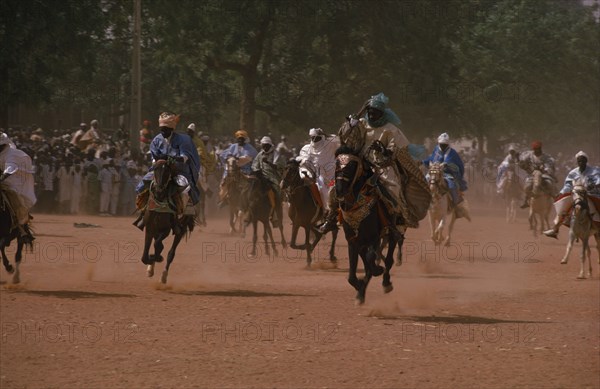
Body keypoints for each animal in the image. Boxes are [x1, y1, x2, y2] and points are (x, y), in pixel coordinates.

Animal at [140, 156, 195, 284]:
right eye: (155, 169)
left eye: (167, 171)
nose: (159, 190)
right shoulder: (149, 228)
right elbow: (145, 255)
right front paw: (151, 262)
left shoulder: (166, 229)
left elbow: (158, 245)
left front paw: (157, 258)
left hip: (181, 229)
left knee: (171, 252)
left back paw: (164, 276)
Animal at [332, 147, 398, 304]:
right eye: (336, 164)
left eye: (351, 166)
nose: (339, 190)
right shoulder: (353, 241)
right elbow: (352, 276)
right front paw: (359, 287)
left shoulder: (374, 238)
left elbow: (371, 261)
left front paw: (378, 271)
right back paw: (361, 293)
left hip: (389, 232)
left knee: (389, 258)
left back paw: (386, 282)